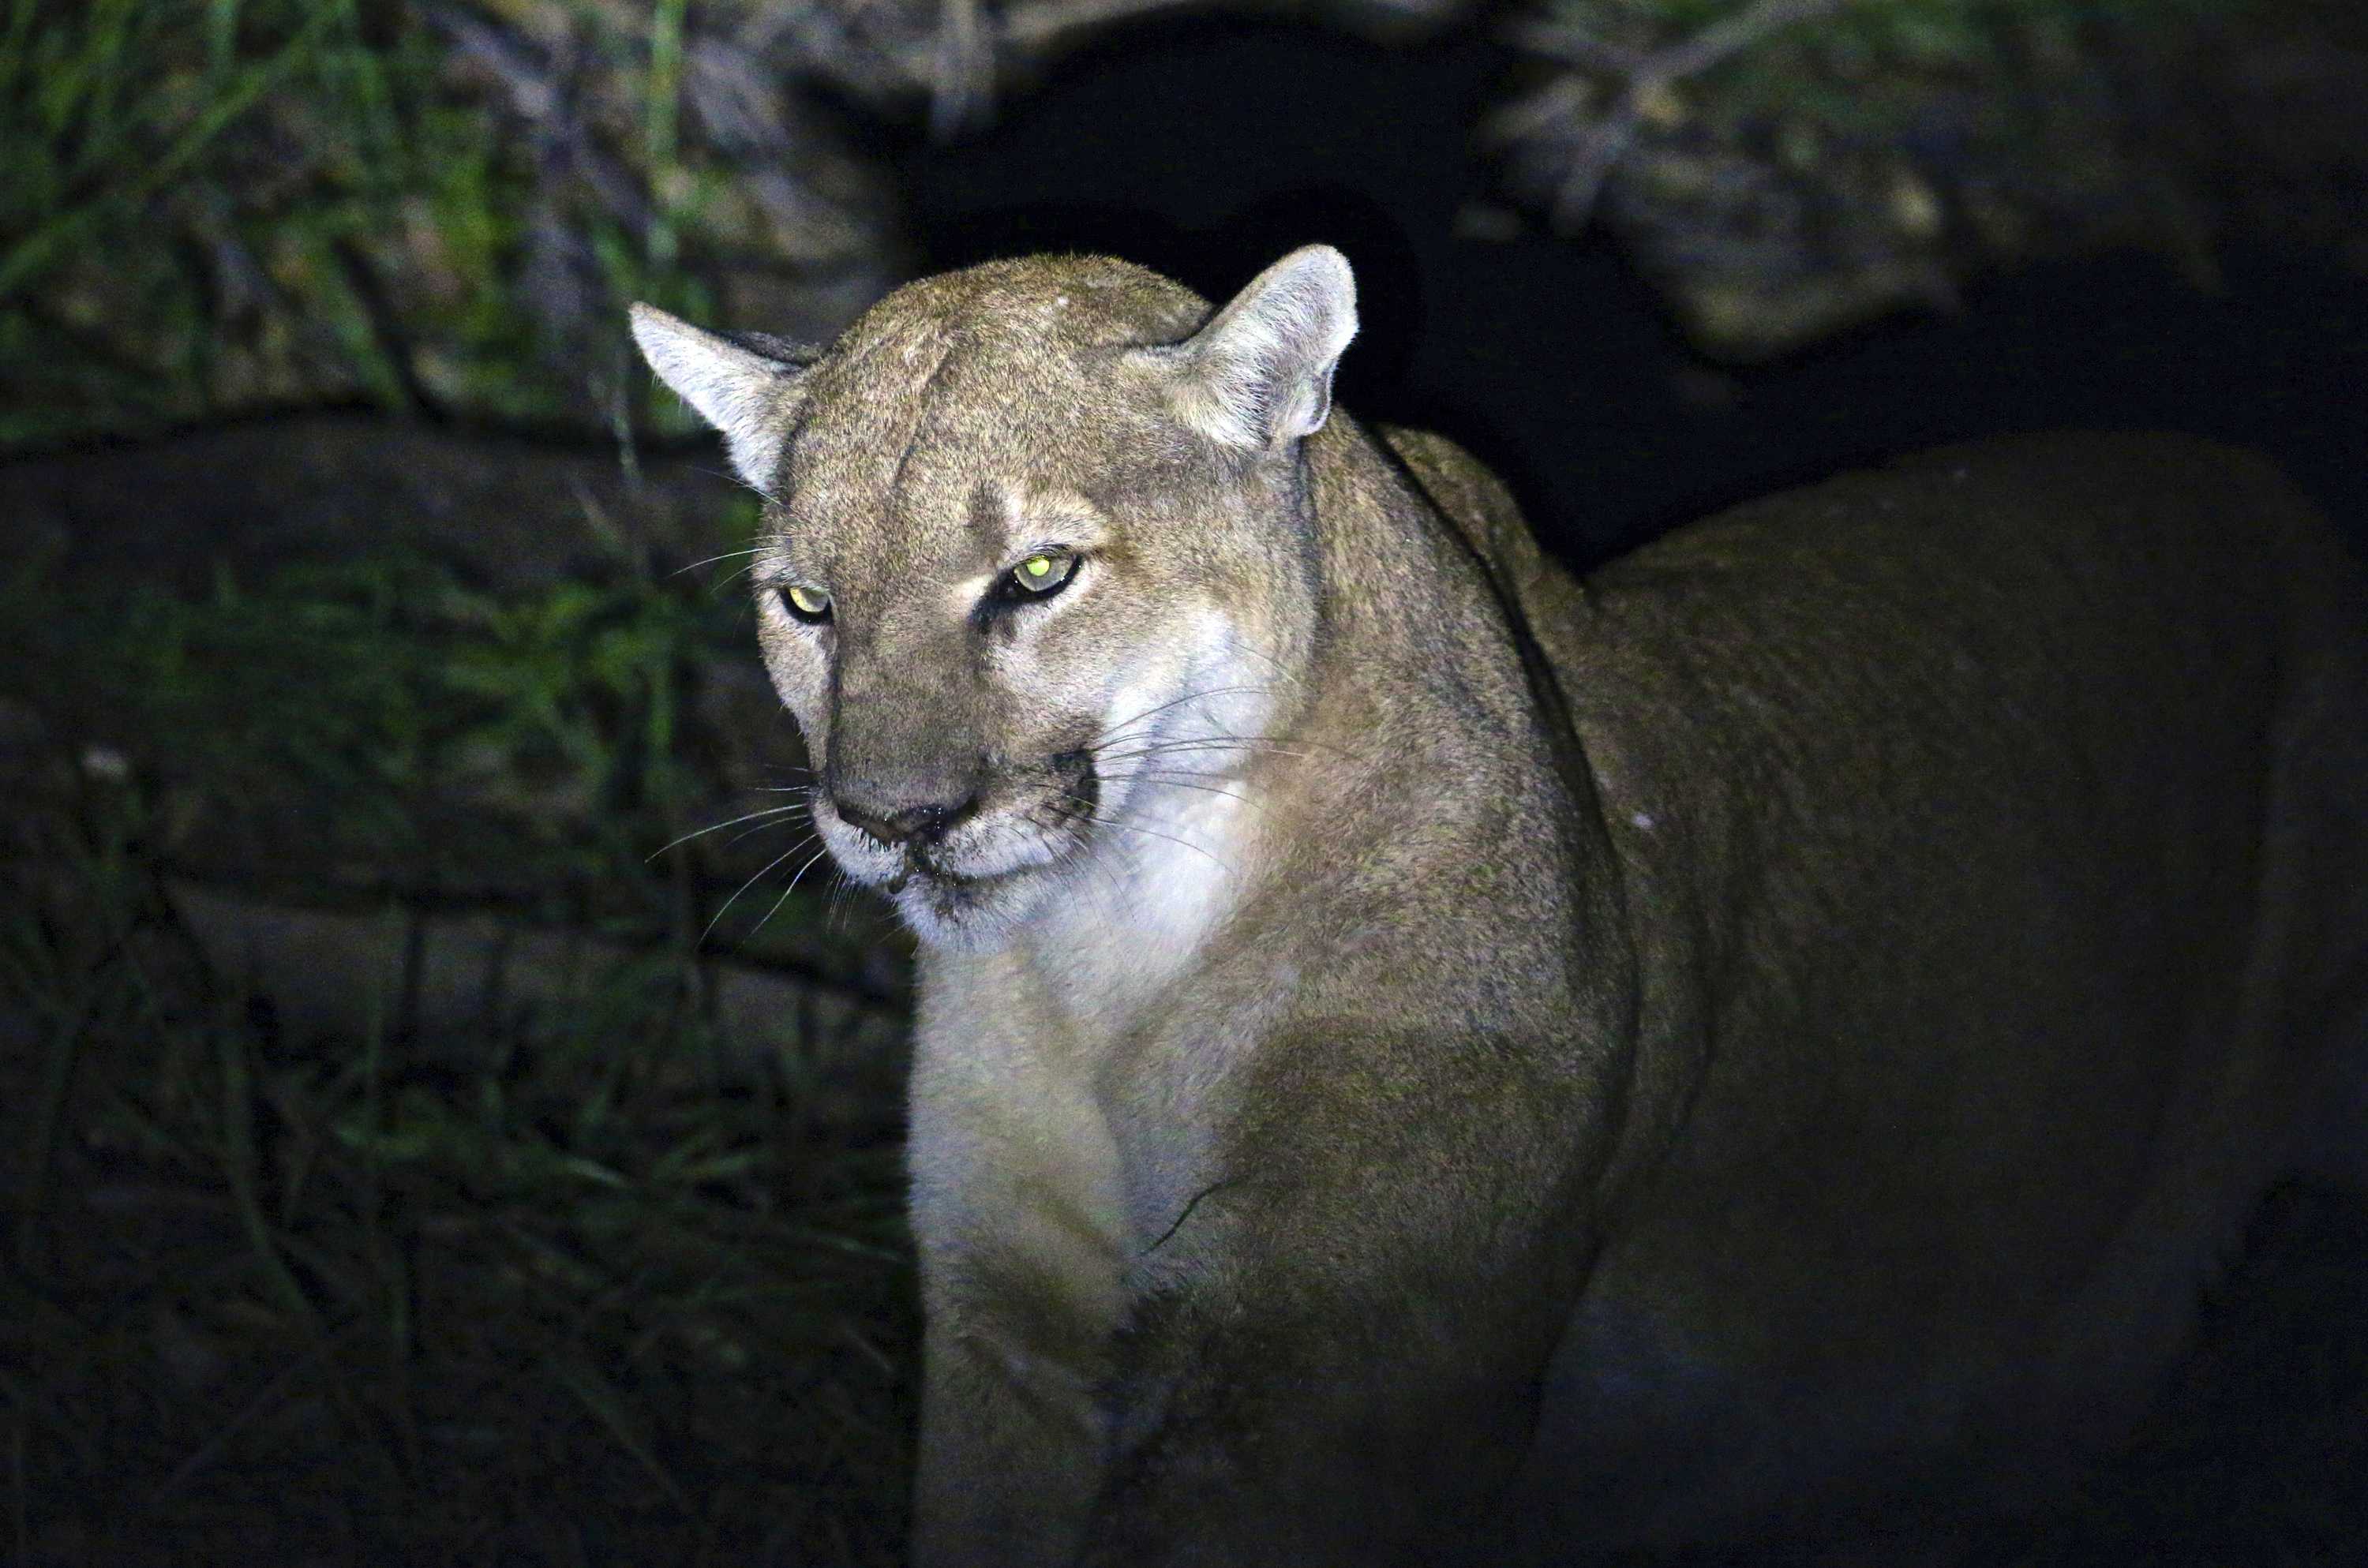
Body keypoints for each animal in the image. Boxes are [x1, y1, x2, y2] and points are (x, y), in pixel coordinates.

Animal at [630, 252, 2368, 1562]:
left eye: (1042, 573)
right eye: (807, 603)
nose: (893, 818)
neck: (1105, 960)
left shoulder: (1316, 1376)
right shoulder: (1019, 1332)